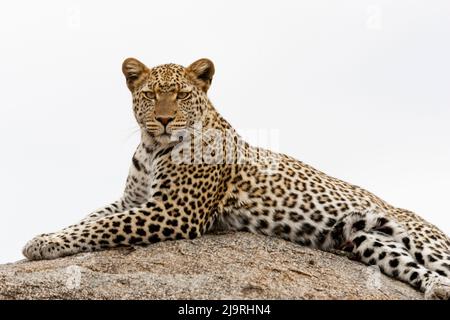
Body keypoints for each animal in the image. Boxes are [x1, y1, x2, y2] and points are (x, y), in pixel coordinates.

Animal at [22, 57, 450, 300]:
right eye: (149, 95)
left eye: (180, 95)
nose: (163, 119)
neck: (151, 146)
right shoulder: (133, 201)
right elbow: (90, 218)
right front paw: (44, 237)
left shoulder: (173, 211)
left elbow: (102, 226)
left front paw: (43, 244)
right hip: (369, 239)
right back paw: (437, 288)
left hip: (425, 242)